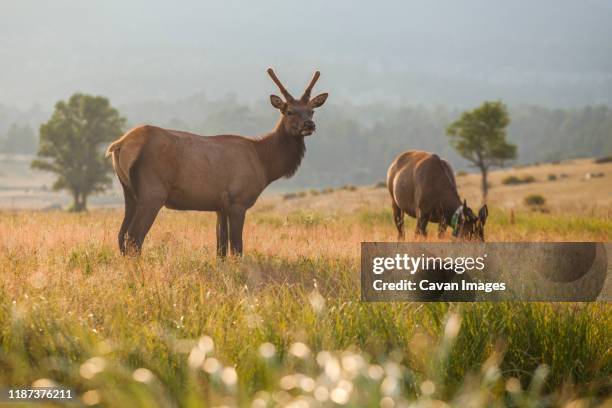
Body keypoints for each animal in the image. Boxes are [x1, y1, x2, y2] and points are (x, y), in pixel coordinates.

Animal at [106, 68, 328, 256]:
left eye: (311, 110)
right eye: (289, 111)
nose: (309, 125)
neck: (264, 164)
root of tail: (119, 144)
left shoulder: (219, 206)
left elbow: (220, 248)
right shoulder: (238, 201)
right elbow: (237, 248)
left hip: (129, 192)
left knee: (121, 236)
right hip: (152, 192)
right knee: (134, 238)